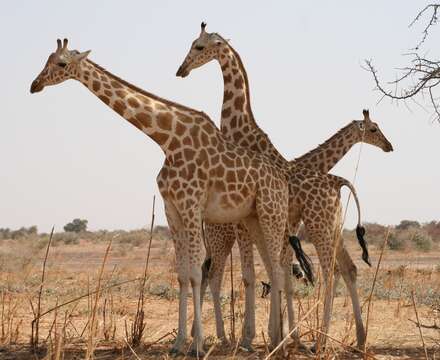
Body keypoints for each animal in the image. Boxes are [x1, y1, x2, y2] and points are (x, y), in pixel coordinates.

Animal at [31, 38, 294, 354]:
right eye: (46, 59)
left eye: (61, 63)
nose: (34, 85)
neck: (167, 139)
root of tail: (282, 180)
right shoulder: (173, 210)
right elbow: (182, 273)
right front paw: (179, 343)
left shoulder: (191, 205)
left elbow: (196, 270)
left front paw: (198, 345)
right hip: (252, 218)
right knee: (272, 268)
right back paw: (275, 338)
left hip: (271, 214)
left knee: (278, 268)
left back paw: (280, 342)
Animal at [177, 23, 394, 352]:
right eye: (374, 128)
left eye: (199, 47)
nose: (182, 70)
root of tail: (339, 182)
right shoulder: (262, 225)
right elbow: (265, 276)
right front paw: (268, 336)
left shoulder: (270, 226)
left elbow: (270, 275)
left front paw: (270, 336)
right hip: (228, 235)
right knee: (211, 273)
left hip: (310, 229)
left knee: (334, 271)